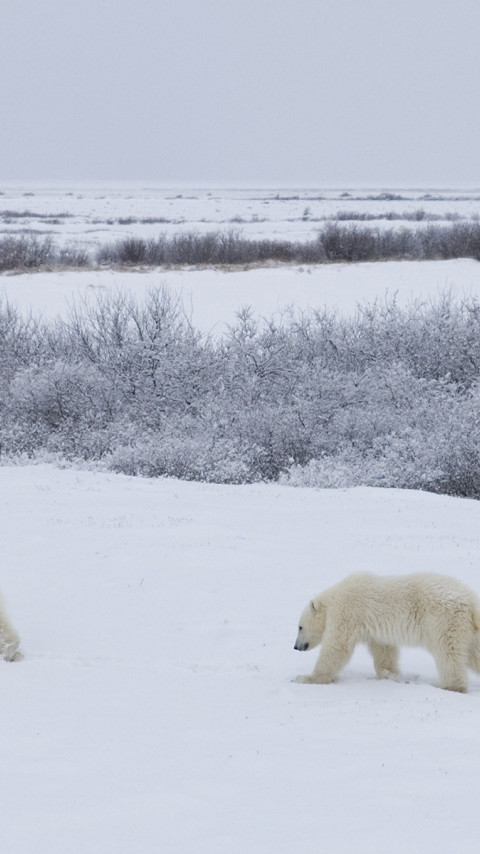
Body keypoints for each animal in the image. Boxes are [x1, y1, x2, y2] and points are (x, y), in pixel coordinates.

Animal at [292, 572, 480, 692]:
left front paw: (306, 678)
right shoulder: (376, 630)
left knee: (448, 653)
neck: (334, 599)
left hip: (443, 620)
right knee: (474, 653)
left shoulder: (347, 612)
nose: (296, 647)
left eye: (299, 627)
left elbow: (337, 647)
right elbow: (384, 651)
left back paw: (447, 686)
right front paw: (390, 675)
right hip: (468, 630)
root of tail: (471, 602)